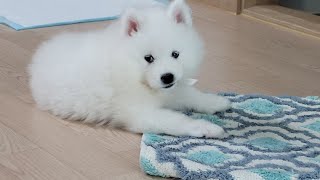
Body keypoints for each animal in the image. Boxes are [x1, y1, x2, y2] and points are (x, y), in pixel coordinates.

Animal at [28, 0, 231, 137]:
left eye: (175, 54)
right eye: (149, 58)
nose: (168, 77)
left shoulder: (172, 90)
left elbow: (191, 94)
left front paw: (214, 101)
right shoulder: (141, 113)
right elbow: (176, 120)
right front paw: (205, 127)